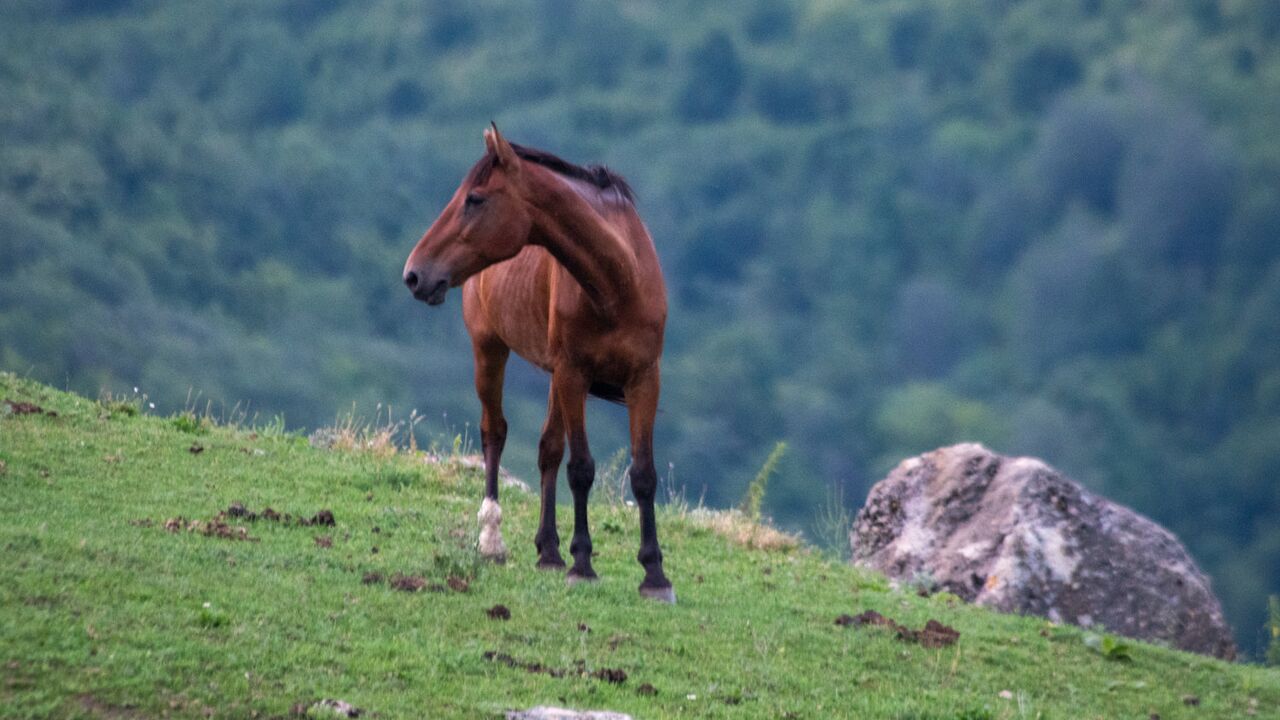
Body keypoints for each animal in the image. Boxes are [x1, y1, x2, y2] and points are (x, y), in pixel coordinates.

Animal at [404, 121, 675, 599]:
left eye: (475, 198)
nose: (415, 274)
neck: (617, 281)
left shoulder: (644, 378)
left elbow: (642, 473)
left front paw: (654, 575)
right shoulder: (573, 373)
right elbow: (581, 468)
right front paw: (583, 563)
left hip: (554, 377)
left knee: (548, 449)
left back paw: (549, 551)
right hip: (491, 350)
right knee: (494, 432)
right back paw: (493, 541)